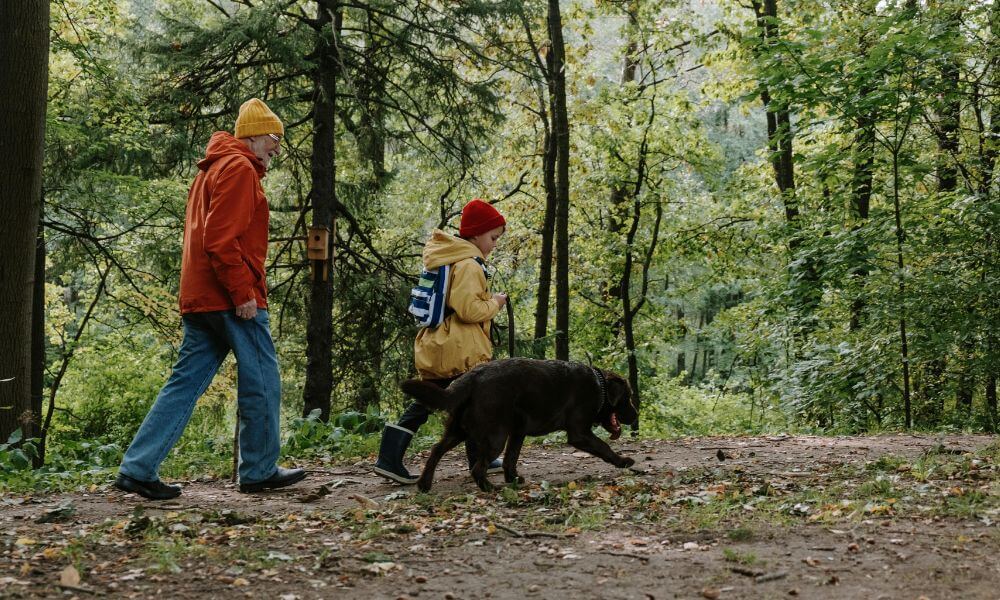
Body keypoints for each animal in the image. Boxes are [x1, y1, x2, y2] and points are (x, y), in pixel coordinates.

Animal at [400, 356, 640, 492]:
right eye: (627, 397)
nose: (636, 415)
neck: (599, 386)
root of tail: (472, 376)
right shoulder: (579, 432)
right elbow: (604, 446)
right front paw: (623, 461)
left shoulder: (518, 432)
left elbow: (511, 458)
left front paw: (513, 478)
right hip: (494, 437)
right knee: (477, 467)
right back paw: (489, 488)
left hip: (459, 430)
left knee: (436, 450)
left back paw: (424, 484)